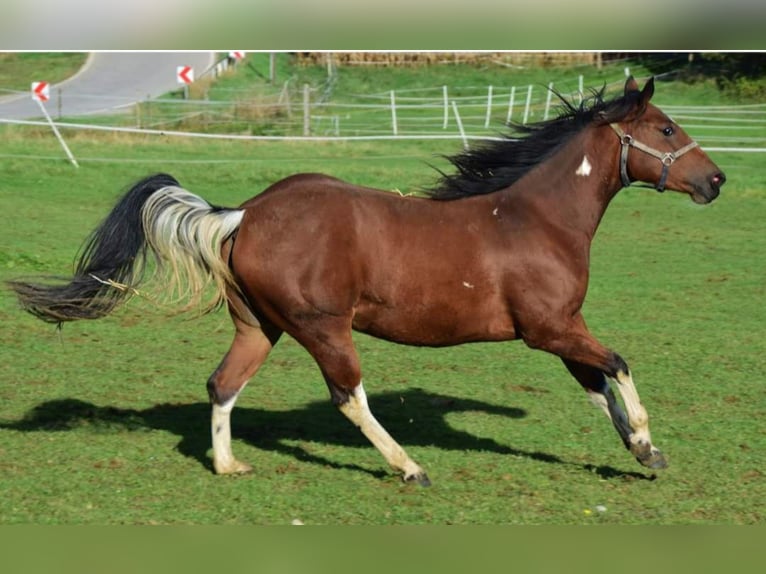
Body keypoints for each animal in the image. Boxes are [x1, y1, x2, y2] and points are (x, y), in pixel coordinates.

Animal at [9, 77, 728, 486]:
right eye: (666, 128)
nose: (716, 180)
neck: (536, 219)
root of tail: (245, 212)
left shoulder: (559, 331)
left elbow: (597, 385)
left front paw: (642, 452)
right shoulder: (550, 328)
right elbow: (619, 365)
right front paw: (646, 441)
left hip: (260, 327)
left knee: (222, 384)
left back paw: (229, 465)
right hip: (323, 327)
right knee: (348, 396)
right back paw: (410, 467)